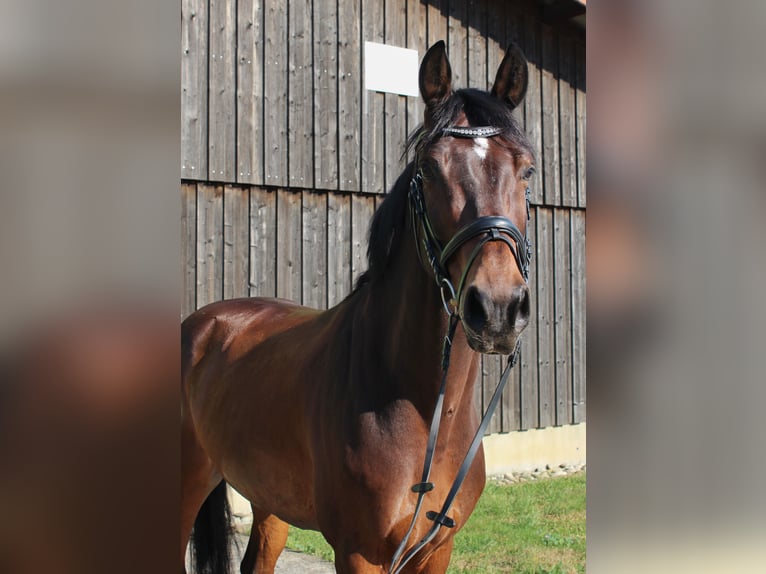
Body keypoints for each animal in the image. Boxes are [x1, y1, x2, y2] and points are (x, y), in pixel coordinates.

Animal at [181, 40, 536, 574]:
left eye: (527, 169)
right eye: (429, 168)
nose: (496, 308)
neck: (423, 409)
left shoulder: (437, 549)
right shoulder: (359, 552)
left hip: (269, 501)